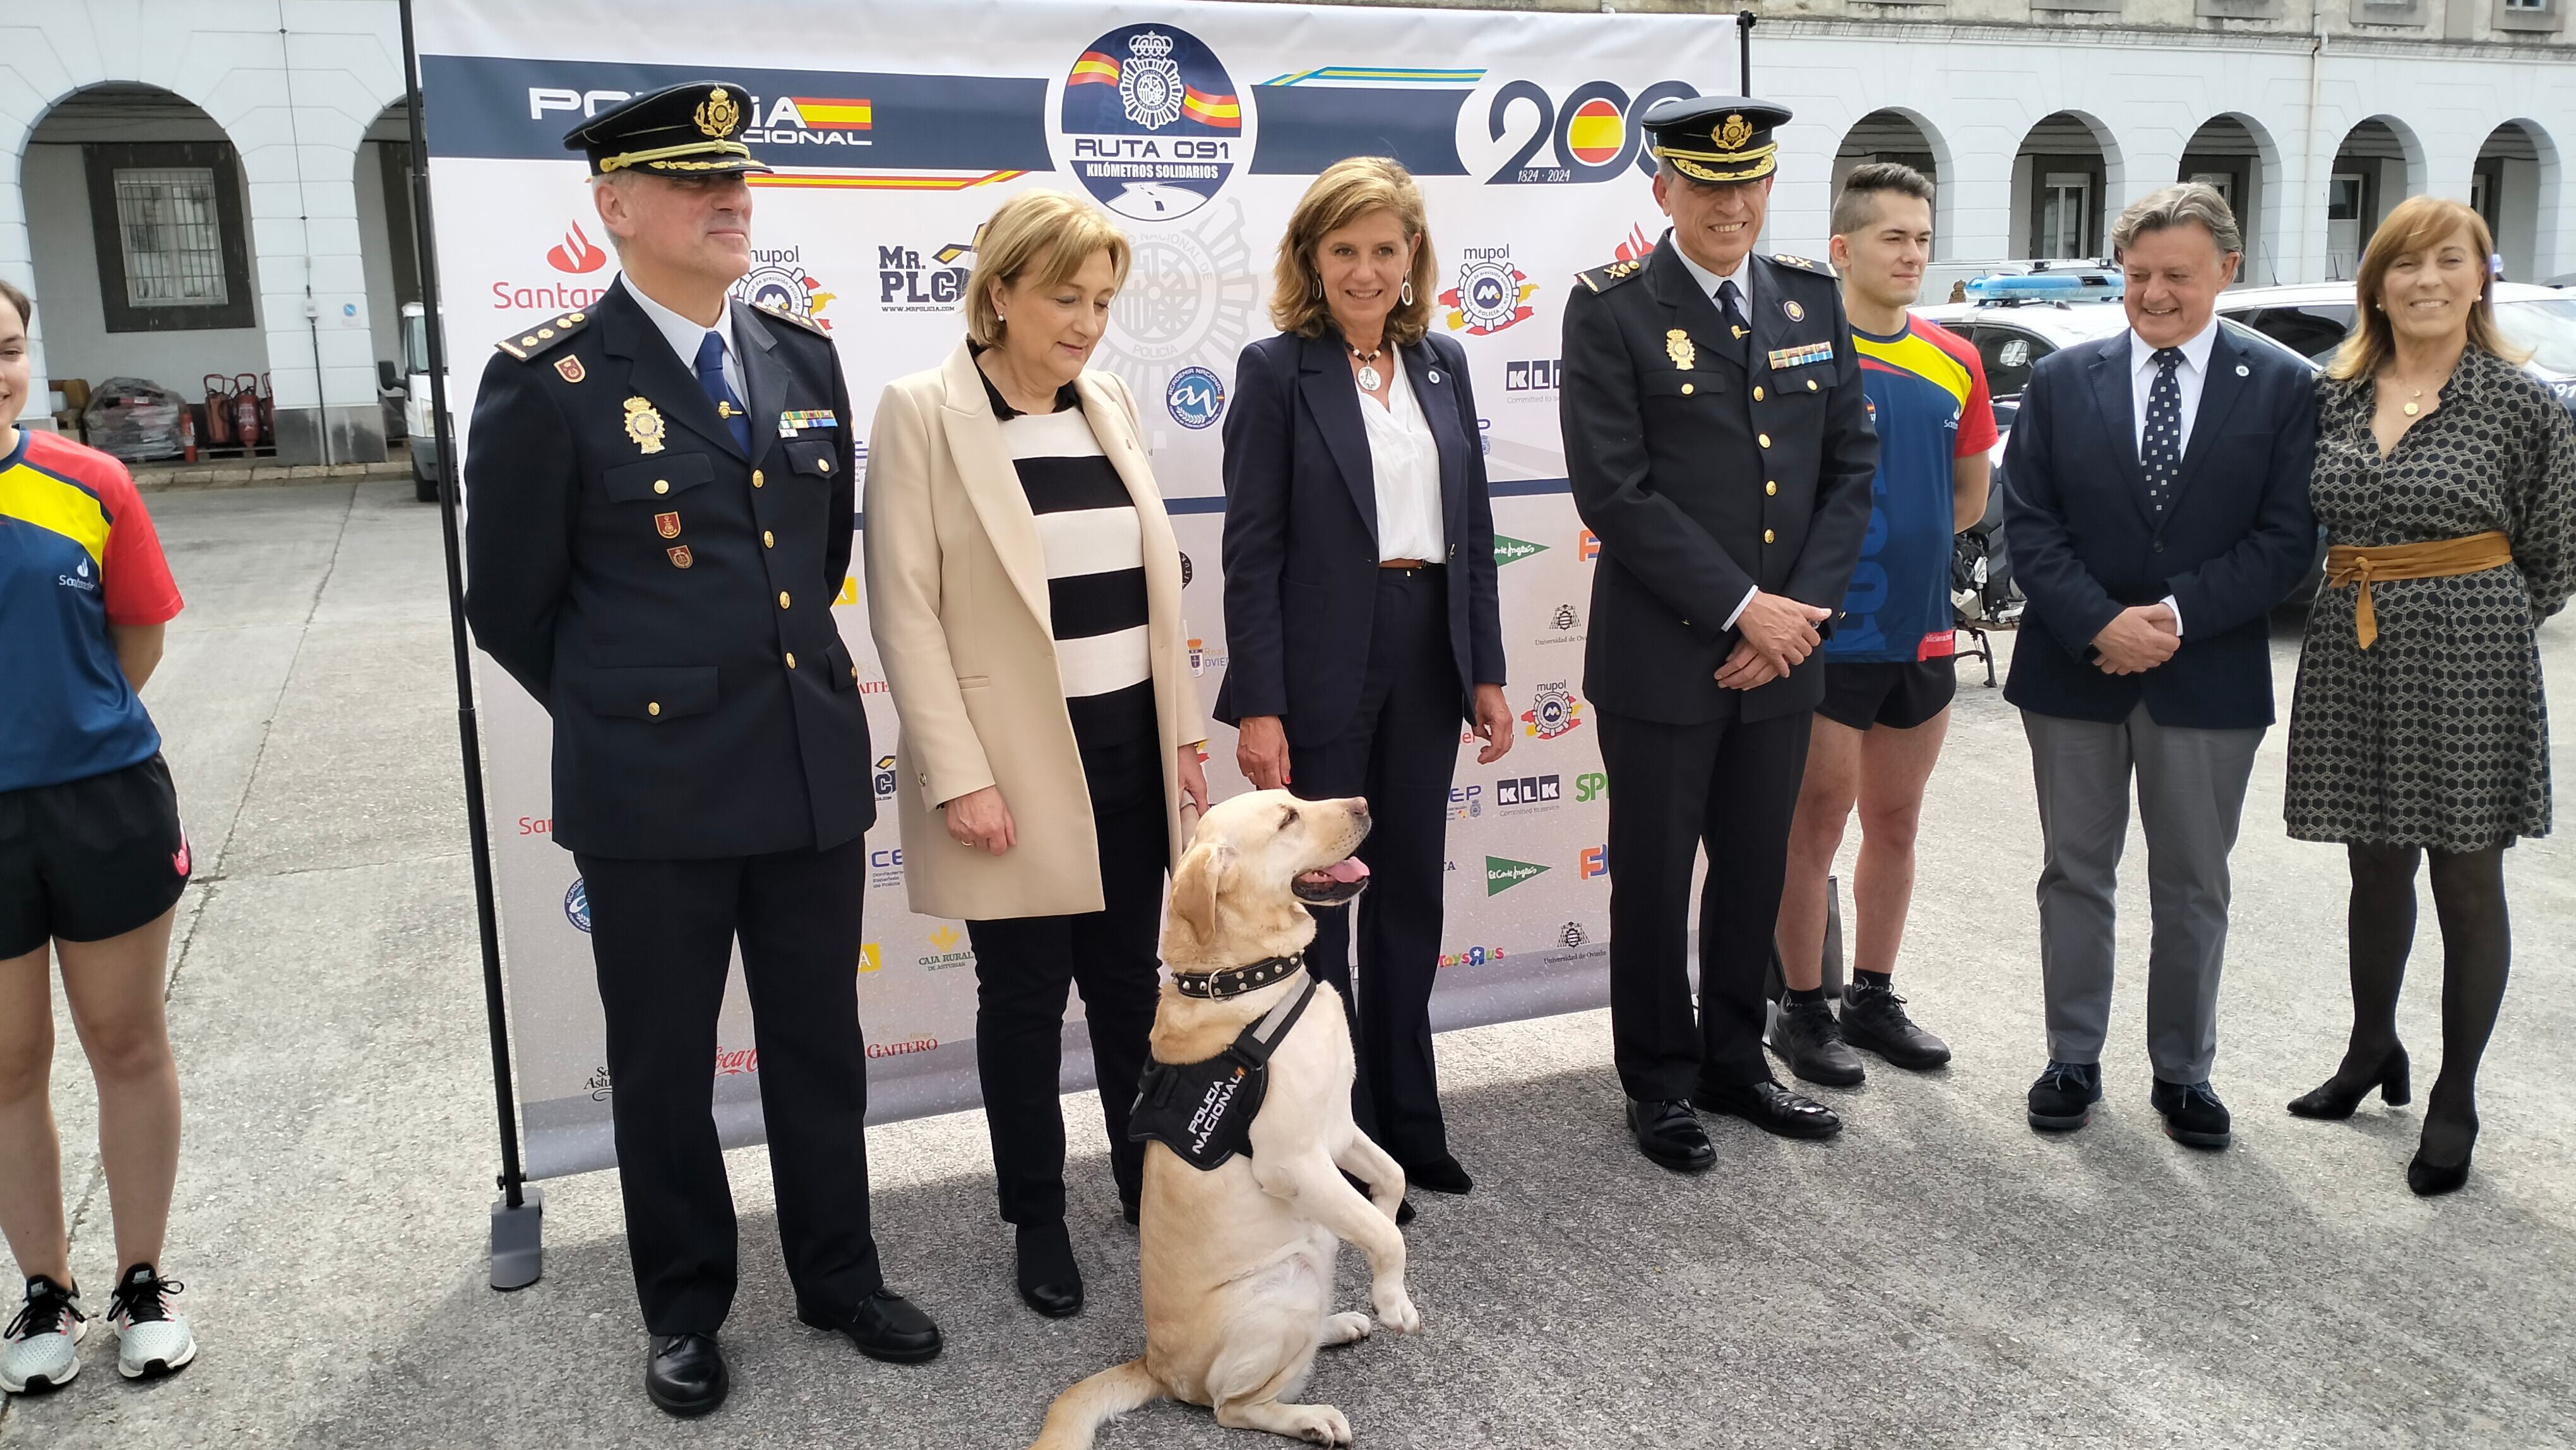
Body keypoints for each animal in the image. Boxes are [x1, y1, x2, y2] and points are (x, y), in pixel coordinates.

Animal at [1030, 793, 1432, 1450]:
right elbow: (1383, 1234)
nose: (1363, 803)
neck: (1249, 981)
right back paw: (1312, 1418)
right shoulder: (1294, 1161)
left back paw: (1339, 1323)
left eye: (1294, 796)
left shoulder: (1339, 1127)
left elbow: (1392, 1179)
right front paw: (1393, 1300)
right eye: (1288, 819)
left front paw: (1385, 1217)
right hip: (1285, 1288)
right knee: (1233, 1406)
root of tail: (1154, 1365)